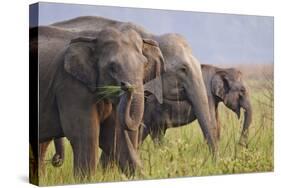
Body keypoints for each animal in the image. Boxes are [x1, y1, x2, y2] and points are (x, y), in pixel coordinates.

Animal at [30, 25, 166, 178]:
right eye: (112, 67)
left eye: (145, 64)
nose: (126, 86)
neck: (94, 38)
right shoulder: (71, 85)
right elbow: (85, 136)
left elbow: (114, 135)